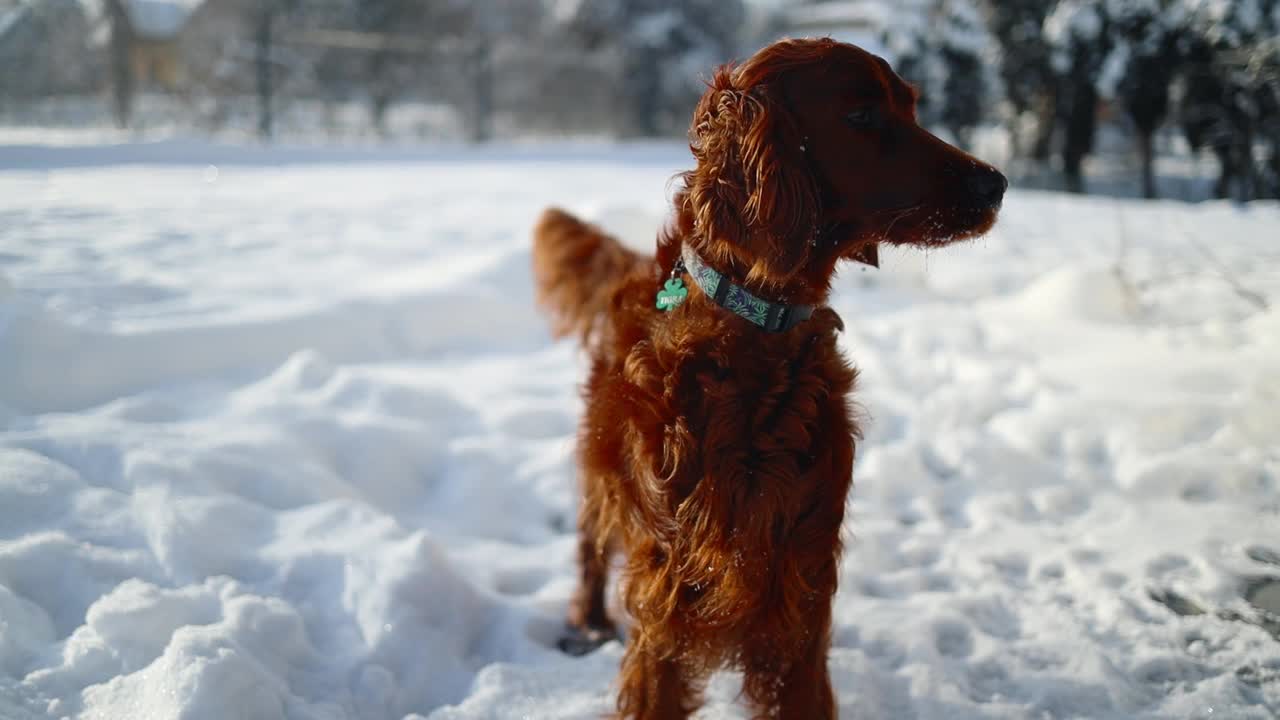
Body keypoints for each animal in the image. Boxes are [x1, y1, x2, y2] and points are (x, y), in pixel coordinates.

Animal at [529, 37, 998, 717]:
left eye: (910, 107)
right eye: (861, 115)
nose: (997, 184)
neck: (757, 330)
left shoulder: (799, 592)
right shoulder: (666, 593)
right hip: (602, 465)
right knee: (591, 541)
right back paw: (587, 623)